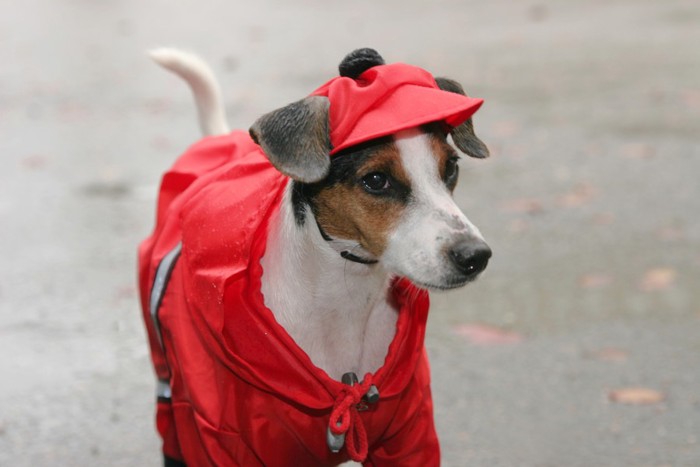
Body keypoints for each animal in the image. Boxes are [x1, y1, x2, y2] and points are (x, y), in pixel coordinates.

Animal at [139, 48, 492, 467]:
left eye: (451, 167)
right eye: (376, 180)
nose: (476, 256)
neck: (346, 302)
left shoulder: (408, 435)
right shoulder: (222, 440)